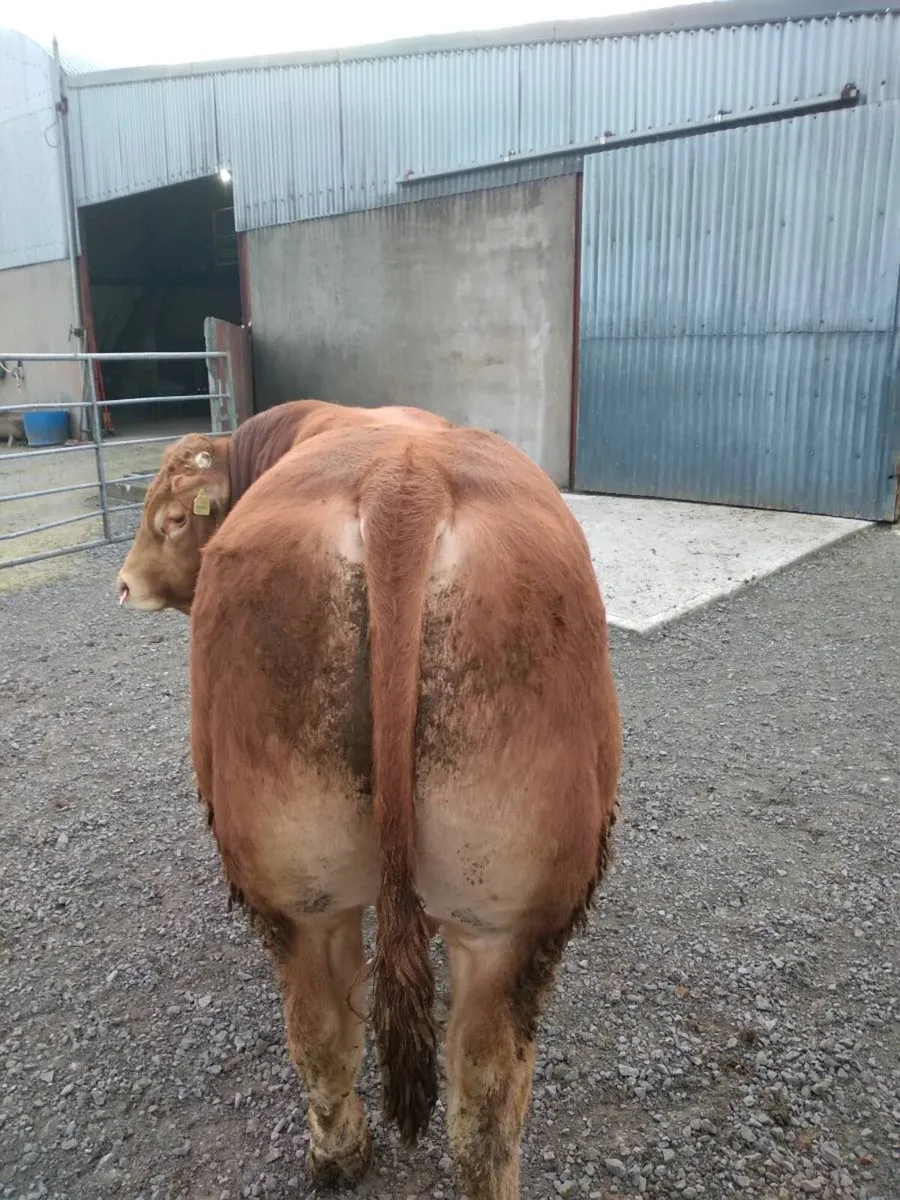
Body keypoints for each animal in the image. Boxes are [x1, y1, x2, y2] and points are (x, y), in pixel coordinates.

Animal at [117, 414, 621, 1200]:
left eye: (170, 519)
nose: (123, 584)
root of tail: (403, 483)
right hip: (483, 917)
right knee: (462, 1089)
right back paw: (344, 1155)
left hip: (337, 898)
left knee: (340, 1043)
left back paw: (338, 1154)